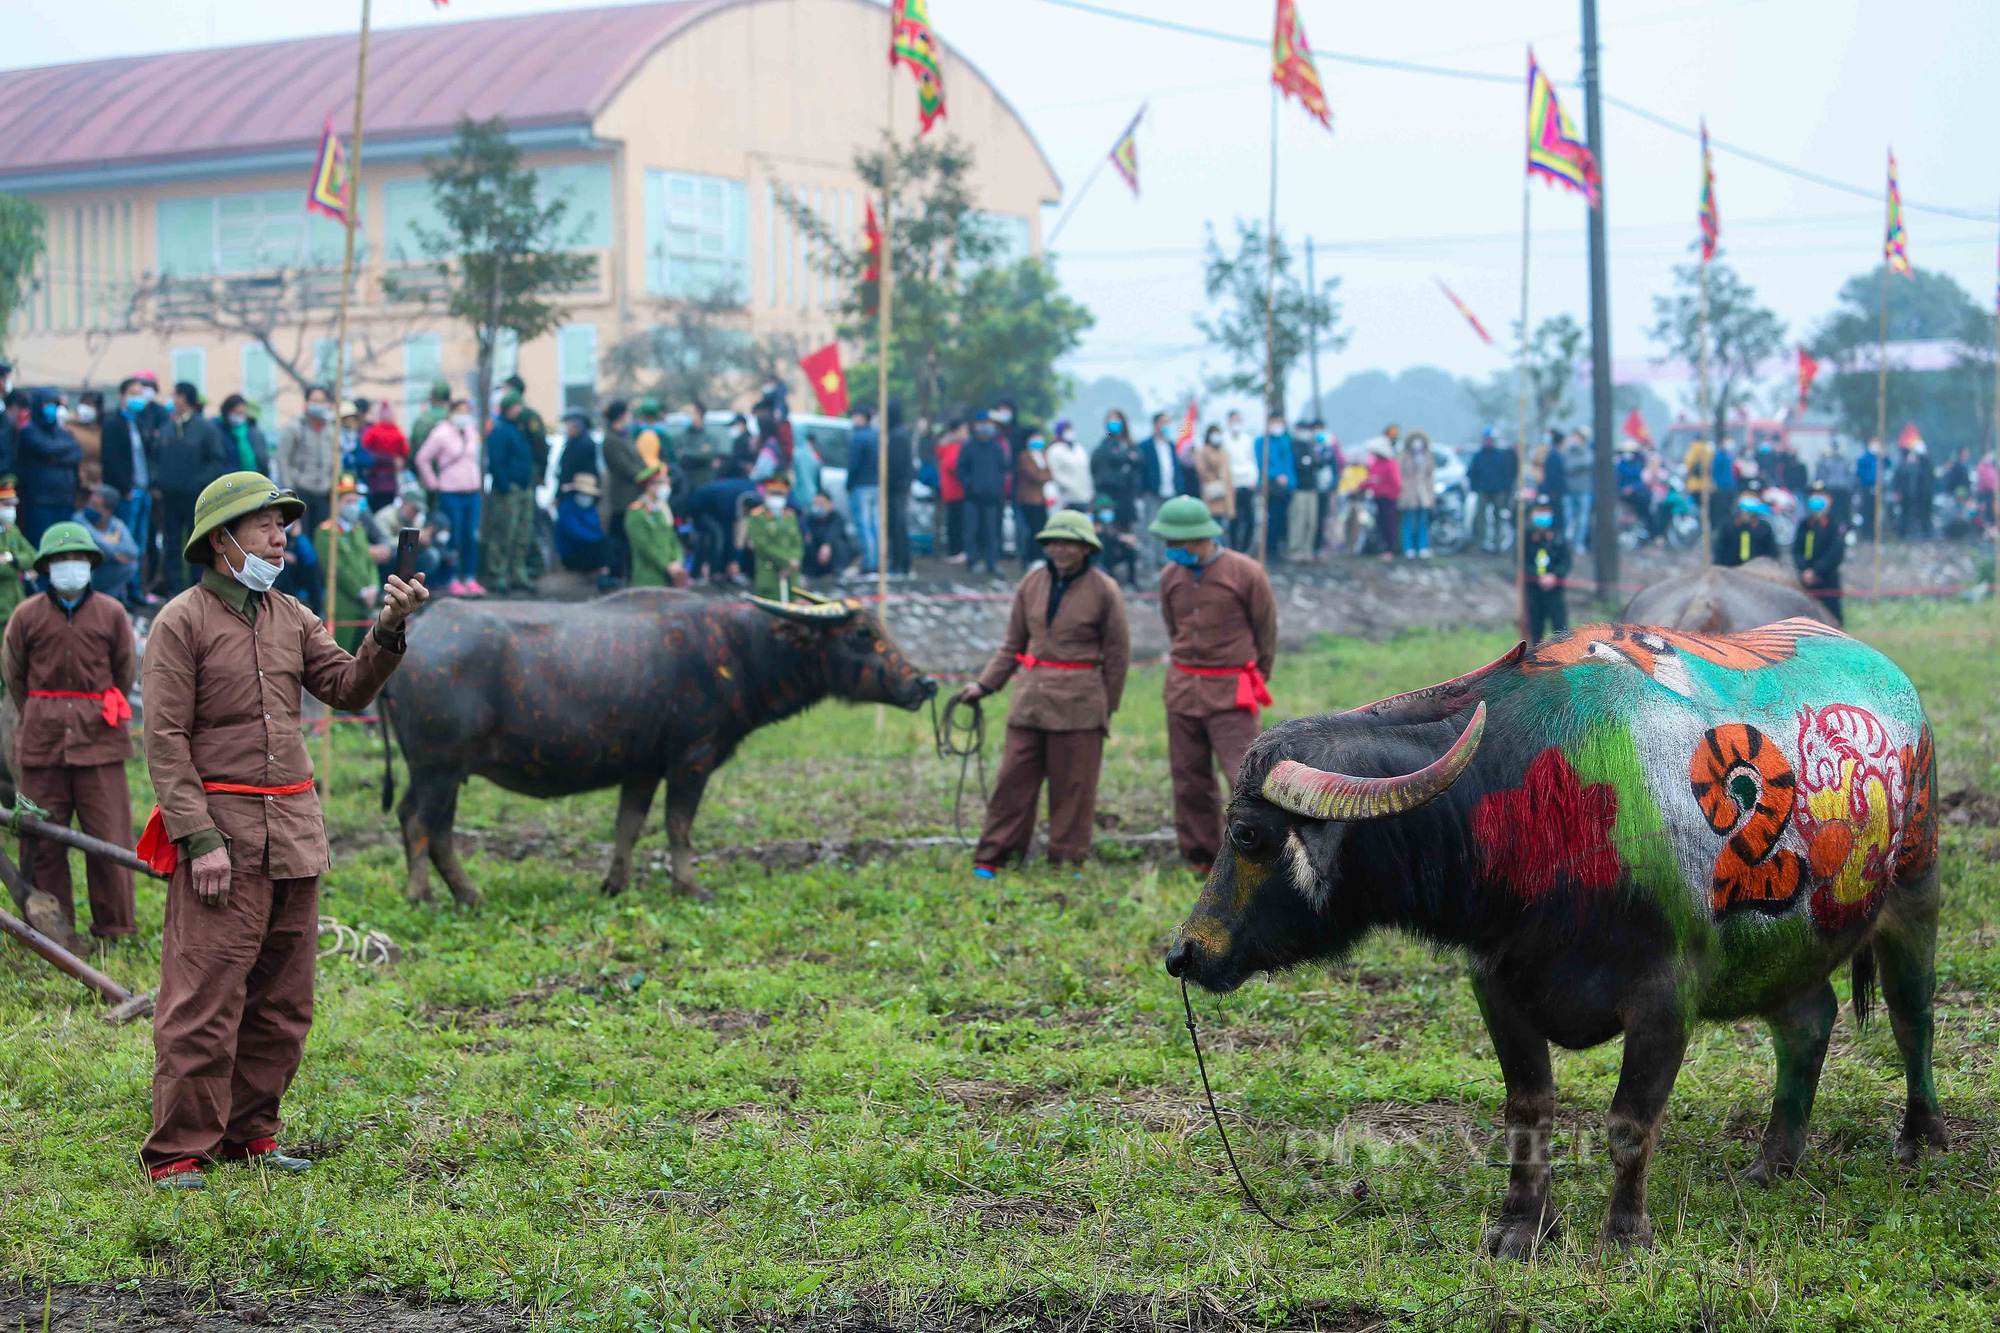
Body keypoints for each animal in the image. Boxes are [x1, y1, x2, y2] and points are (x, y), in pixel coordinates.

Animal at [384, 588, 936, 904]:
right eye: (862, 632)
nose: (925, 682)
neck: (739, 649)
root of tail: (417, 631)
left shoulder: (642, 768)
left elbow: (628, 826)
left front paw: (615, 885)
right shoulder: (691, 760)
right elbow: (678, 826)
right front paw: (688, 886)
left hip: (447, 771)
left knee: (436, 829)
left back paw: (468, 895)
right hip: (437, 767)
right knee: (419, 822)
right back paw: (423, 896)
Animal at [1168, 616, 1944, 1248]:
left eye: (1247, 833)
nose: (1184, 951)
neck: (1547, 810)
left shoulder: (1666, 995)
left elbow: (1630, 1122)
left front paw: (1624, 1235)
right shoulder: (1497, 985)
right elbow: (1528, 1109)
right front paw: (1521, 1227)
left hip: (1914, 889)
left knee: (1912, 1017)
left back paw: (1919, 1140)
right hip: (1789, 950)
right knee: (1808, 1022)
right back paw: (1773, 1160)